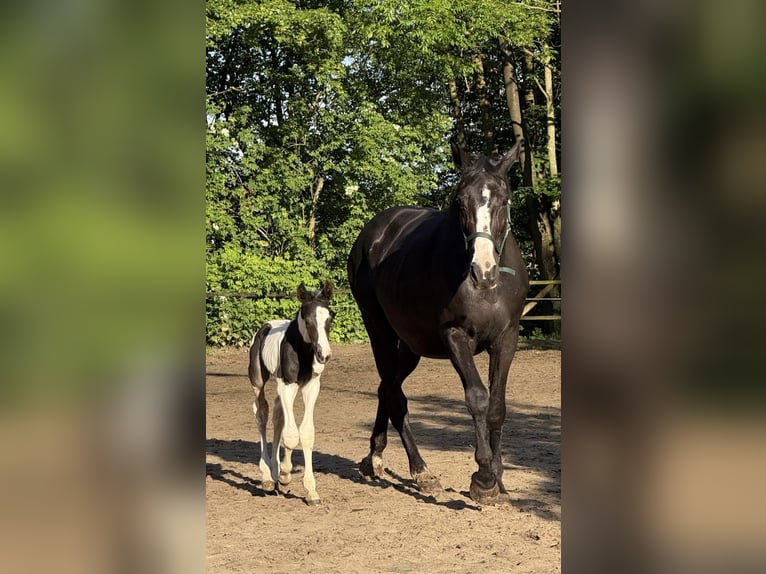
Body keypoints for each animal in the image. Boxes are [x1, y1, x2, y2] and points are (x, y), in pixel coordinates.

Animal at [247, 281, 333, 505]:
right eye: (307, 319)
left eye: (329, 318)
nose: (324, 354)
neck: (303, 353)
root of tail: (266, 326)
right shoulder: (286, 385)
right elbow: (292, 434)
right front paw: (286, 475)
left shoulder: (312, 387)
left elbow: (306, 432)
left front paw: (311, 491)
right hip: (258, 382)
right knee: (262, 413)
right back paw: (268, 476)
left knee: (278, 416)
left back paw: (274, 471)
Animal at [346, 141, 528, 504]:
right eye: (459, 201)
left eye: (504, 198)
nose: (482, 271)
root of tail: (371, 235)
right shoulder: (455, 335)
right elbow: (477, 398)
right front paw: (483, 478)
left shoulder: (507, 338)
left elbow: (497, 406)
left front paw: (499, 478)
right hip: (379, 331)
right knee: (394, 393)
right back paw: (421, 471)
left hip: (410, 345)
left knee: (387, 387)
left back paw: (375, 456)